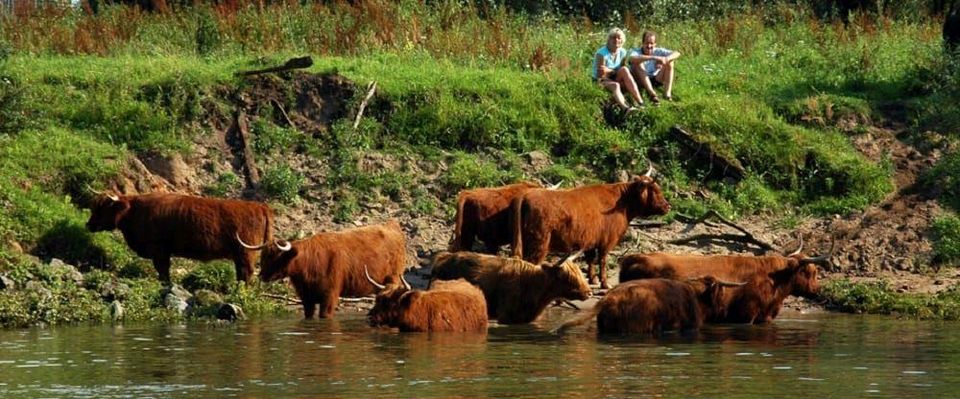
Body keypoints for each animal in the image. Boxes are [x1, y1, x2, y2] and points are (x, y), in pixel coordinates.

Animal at [242, 220, 406, 320]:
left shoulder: (329, 297)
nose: (261, 275)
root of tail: (391, 225)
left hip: (394, 279)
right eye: (263, 256)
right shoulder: (306, 298)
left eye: (275, 256)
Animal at [510, 170, 668, 290]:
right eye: (655, 191)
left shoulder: (590, 241)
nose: (668, 206)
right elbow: (602, 261)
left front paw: (593, 280)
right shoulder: (607, 241)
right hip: (539, 243)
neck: (622, 204)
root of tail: (527, 194)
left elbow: (591, 260)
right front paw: (605, 284)